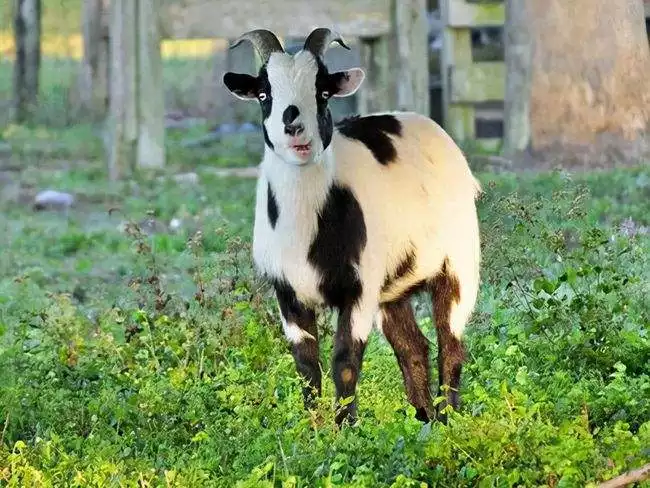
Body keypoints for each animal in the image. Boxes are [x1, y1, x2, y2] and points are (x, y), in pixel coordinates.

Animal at [223, 29, 480, 428]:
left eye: (323, 93)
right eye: (264, 94)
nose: (294, 128)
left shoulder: (358, 288)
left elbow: (344, 360)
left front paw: (346, 428)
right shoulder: (286, 291)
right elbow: (306, 364)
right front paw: (313, 427)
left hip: (458, 262)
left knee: (450, 341)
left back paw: (446, 419)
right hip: (393, 288)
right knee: (412, 346)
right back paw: (421, 419)